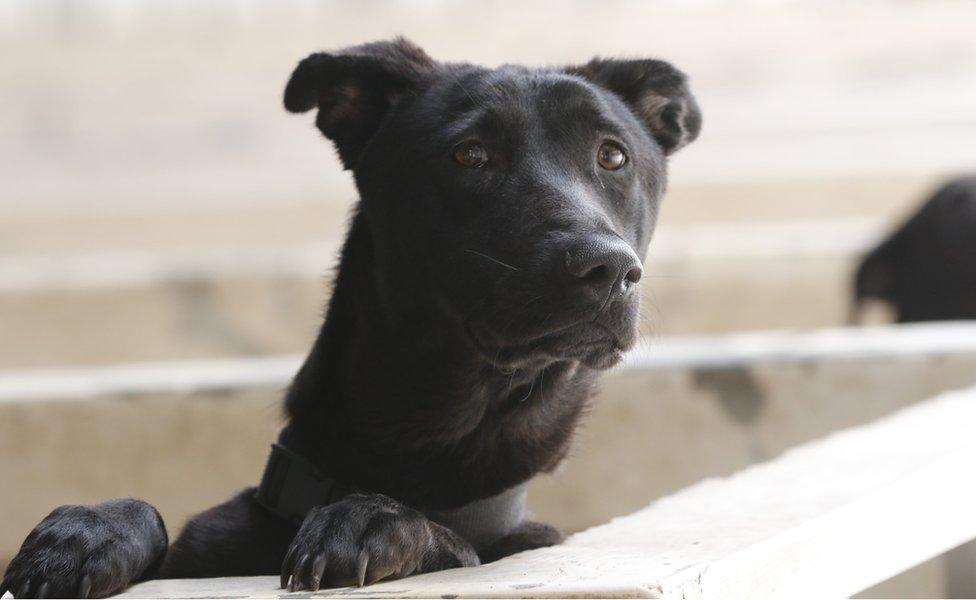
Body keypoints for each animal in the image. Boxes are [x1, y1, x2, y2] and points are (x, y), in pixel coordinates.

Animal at [1, 39, 700, 596]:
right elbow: (142, 511)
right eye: (470, 155)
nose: (607, 267)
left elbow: (451, 541)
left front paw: (375, 519)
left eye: (613, 157)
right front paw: (85, 533)